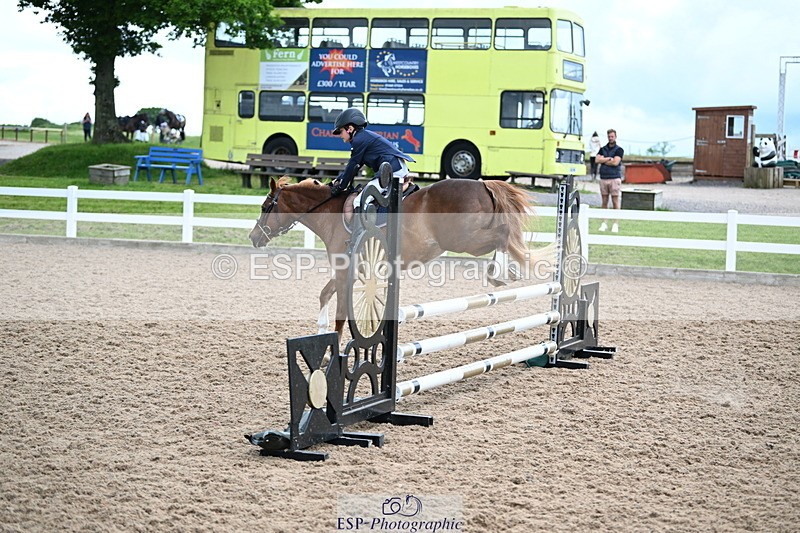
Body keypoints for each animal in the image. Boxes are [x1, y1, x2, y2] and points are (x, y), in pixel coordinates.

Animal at [249, 177, 555, 337]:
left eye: (265, 206)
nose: (254, 238)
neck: (329, 211)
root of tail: (483, 185)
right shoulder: (354, 270)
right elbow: (325, 294)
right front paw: (321, 331)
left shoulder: (344, 268)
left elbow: (338, 311)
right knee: (505, 237)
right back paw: (507, 273)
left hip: (462, 240)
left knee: (503, 236)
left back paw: (500, 274)